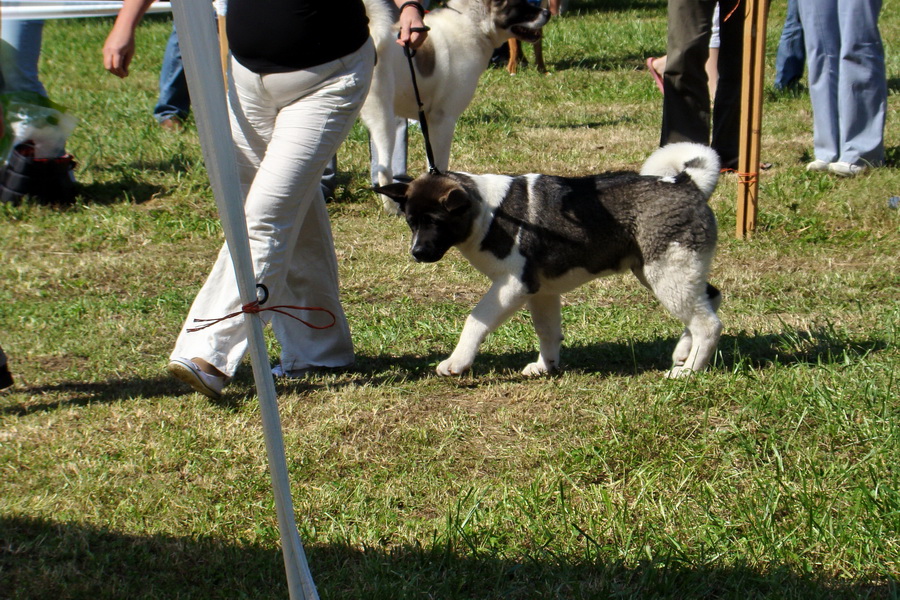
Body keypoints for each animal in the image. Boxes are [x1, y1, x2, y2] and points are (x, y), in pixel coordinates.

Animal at [364, 0, 548, 213]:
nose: (548, 13)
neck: (472, 23)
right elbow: (439, 163)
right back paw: (392, 209)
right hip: (383, 119)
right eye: (521, 4)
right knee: (383, 168)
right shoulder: (443, 120)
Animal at [376, 143, 728, 378]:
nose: (417, 253)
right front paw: (546, 366)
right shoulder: (541, 292)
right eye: (411, 222)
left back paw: (689, 371)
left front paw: (457, 362)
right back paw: (683, 352)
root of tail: (686, 182)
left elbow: (475, 321)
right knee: (710, 298)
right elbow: (547, 331)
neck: (488, 213)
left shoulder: (512, 286)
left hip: (667, 274)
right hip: (661, 272)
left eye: (436, 221)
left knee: (708, 324)